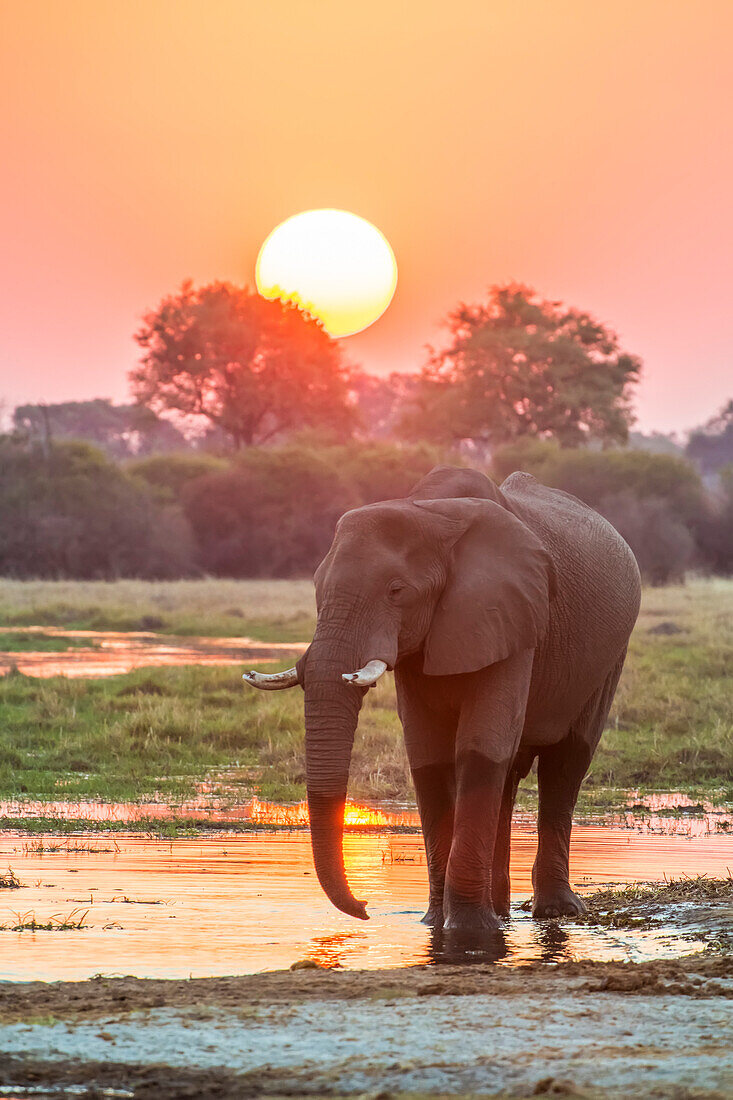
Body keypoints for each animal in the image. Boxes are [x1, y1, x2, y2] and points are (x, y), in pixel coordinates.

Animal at [242, 459, 638, 932]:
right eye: (317, 588)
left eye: (396, 591)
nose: (365, 908)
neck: (431, 512)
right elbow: (427, 756)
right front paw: (434, 923)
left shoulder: (511, 615)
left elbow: (479, 749)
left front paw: (468, 931)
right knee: (509, 773)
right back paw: (501, 911)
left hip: (609, 656)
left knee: (566, 763)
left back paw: (554, 911)